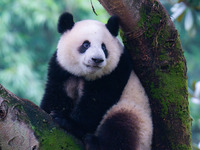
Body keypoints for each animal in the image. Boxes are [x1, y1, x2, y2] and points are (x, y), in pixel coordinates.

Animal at [41, 12, 153, 150]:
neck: (85, 74)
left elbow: (96, 102)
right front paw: (52, 111)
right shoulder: (61, 69)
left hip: (137, 116)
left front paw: (66, 121)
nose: (97, 59)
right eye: (86, 44)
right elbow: (57, 93)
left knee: (122, 125)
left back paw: (95, 142)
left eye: (104, 47)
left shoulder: (115, 70)